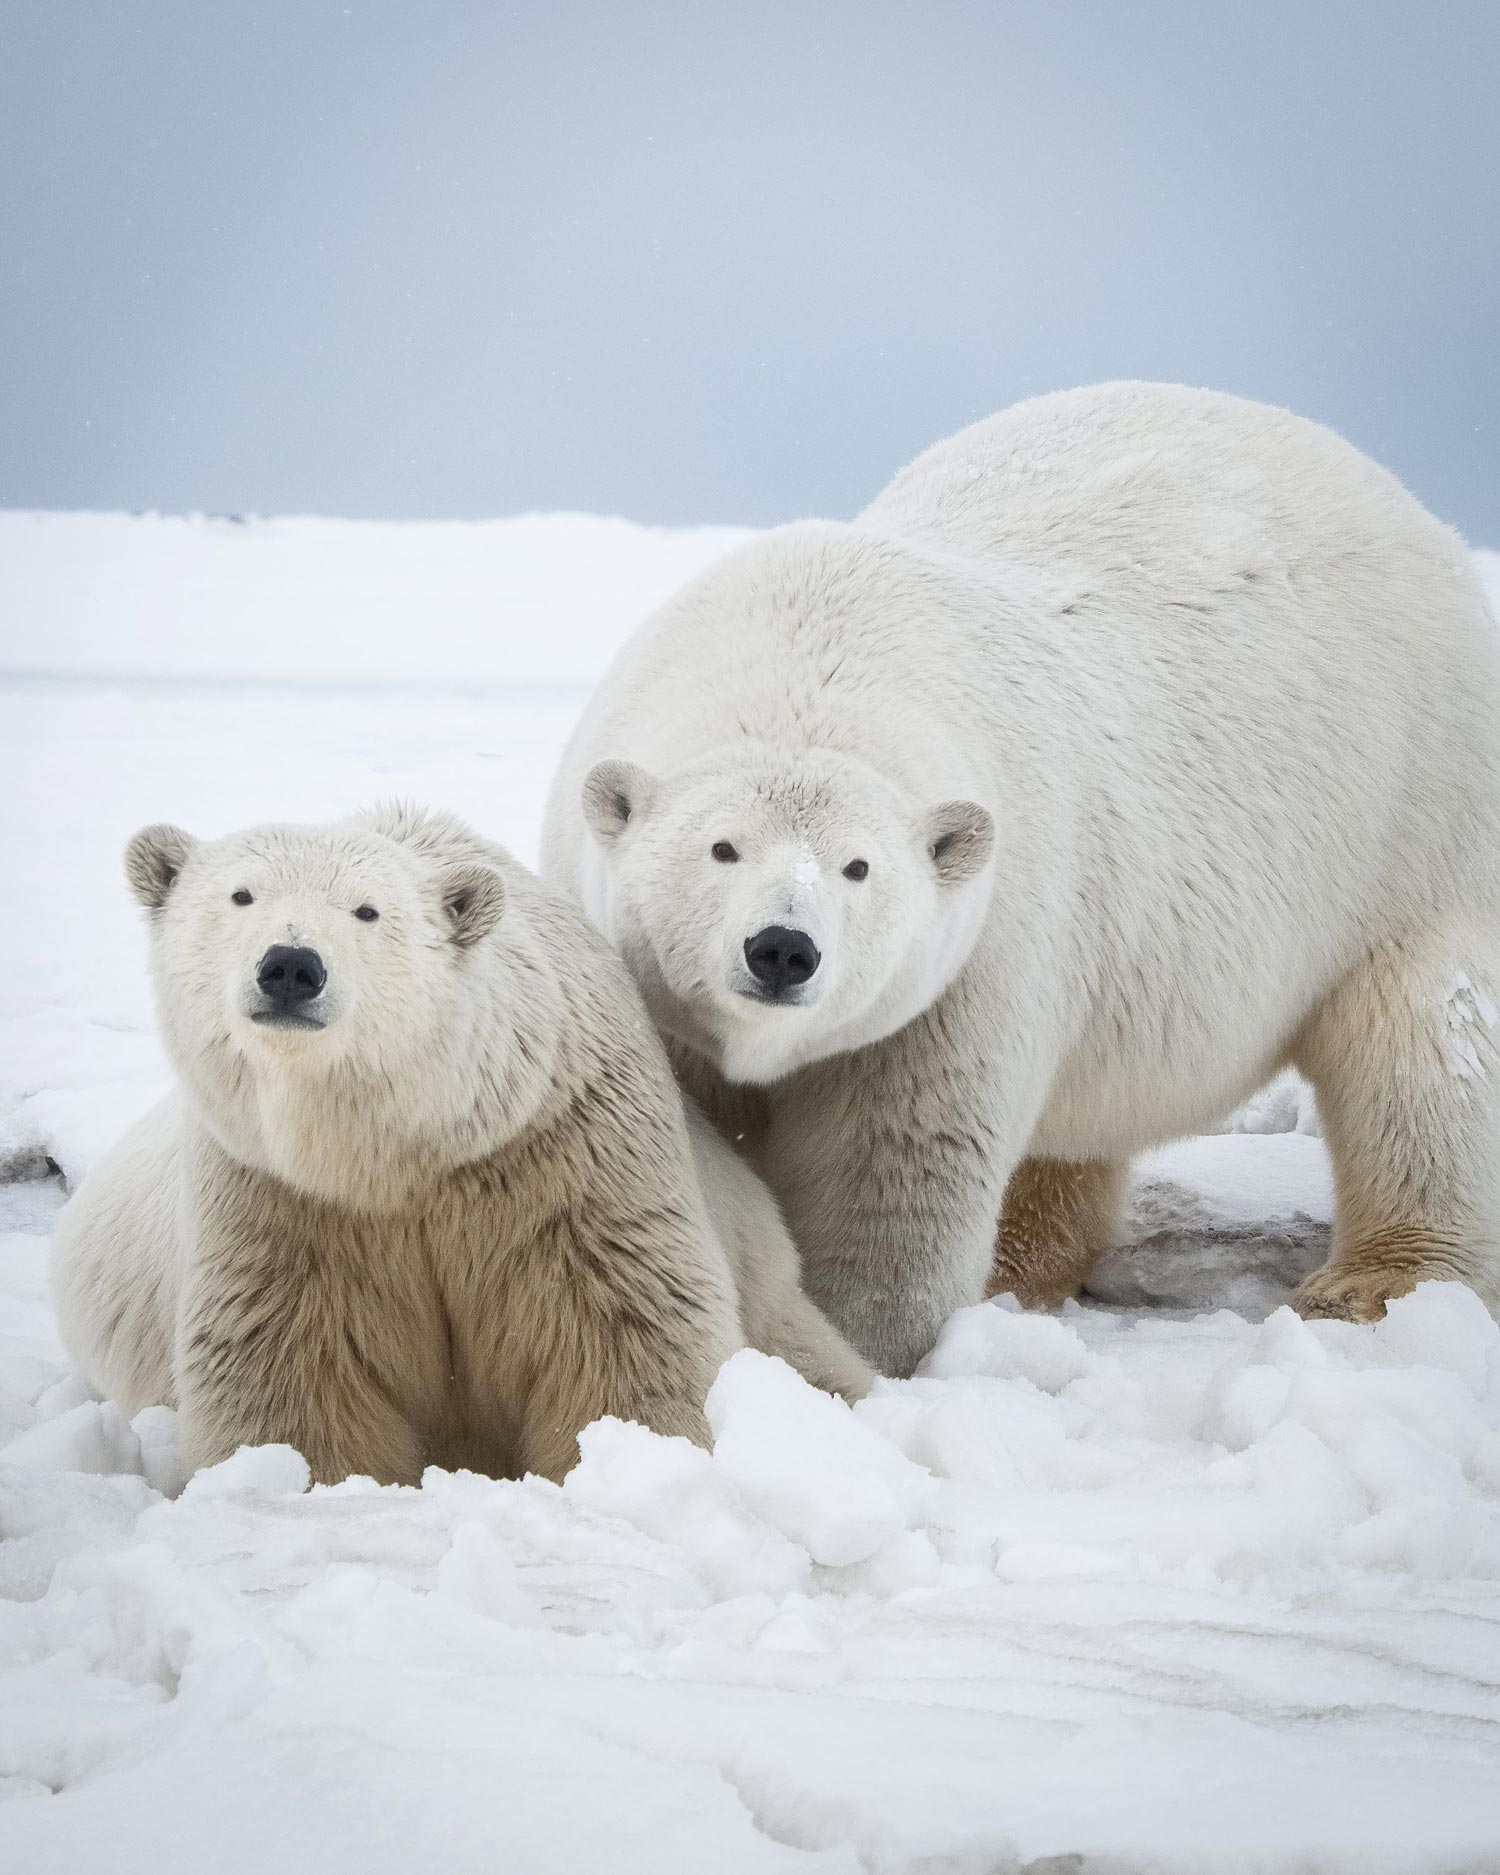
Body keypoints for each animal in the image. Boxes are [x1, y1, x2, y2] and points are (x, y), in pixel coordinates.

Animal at [52, 806, 866, 1477]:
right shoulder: (278, 1196)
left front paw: (631, 1457)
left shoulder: (565, 1159)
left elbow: (615, 1328)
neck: (412, 1143)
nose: (290, 965)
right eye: (240, 896)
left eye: (368, 910)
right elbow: (291, 1371)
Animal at [543, 384, 1500, 1380]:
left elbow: (894, 1173)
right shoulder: (647, 980)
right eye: (721, 847)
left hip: (1418, 814)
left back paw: (1377, 1285)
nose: (782, 949)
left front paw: (864, 1341)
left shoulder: (972, 960)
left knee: (1416, 1044)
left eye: (859, 866)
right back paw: (1023, 1266)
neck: (806, 640)